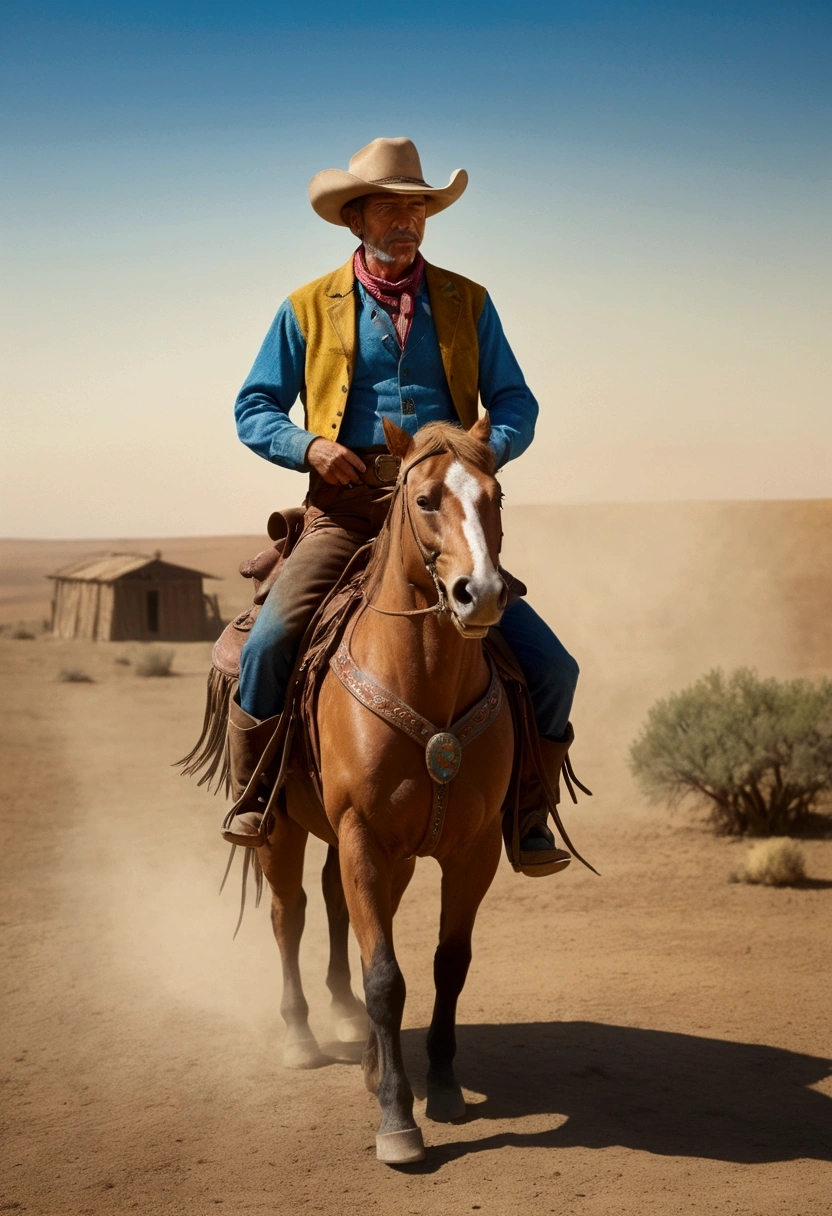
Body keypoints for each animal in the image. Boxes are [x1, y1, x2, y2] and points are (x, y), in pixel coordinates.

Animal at [256, 413, 515, 1162]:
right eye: (426, 499)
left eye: (497, 497)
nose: (482, 595)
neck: (423, 680)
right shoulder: (363, 835)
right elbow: (385, 976)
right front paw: (399, 1118)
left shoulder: (472, 849)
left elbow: (447, 964)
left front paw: (445, 1086)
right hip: (280, 828)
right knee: (289, 914)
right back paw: (301, 1035)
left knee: (340, 908)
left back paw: (356, 1036)